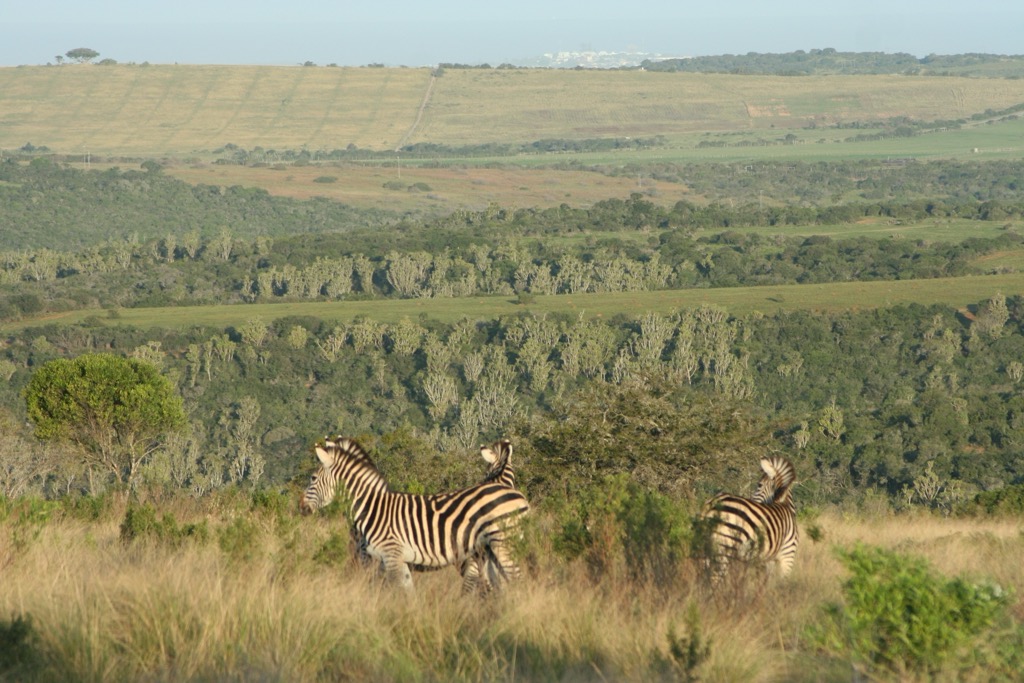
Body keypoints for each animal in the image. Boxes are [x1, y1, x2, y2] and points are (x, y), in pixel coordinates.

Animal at [300, 436, 529, 593]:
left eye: (312, 478)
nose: (301, 507)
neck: (371, 507)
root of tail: (519, 497)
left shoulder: (389, 556)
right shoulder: (390, 559)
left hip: (501, 544)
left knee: (515, 581)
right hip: (490, 550)